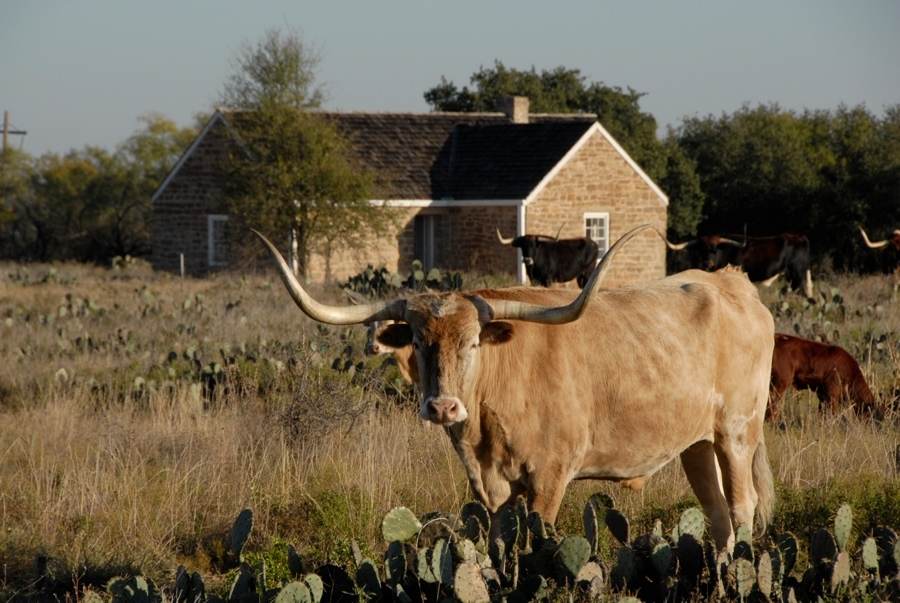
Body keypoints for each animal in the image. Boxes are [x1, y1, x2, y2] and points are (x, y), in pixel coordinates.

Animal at [256, 225, 776, 552]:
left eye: (471, 342)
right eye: (419, 343)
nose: (443, 408)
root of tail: (734, 285)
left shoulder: (550, 477)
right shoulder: (494, 489)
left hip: (737, 433)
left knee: (742, 506)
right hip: (697, 444)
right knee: (716, 514)